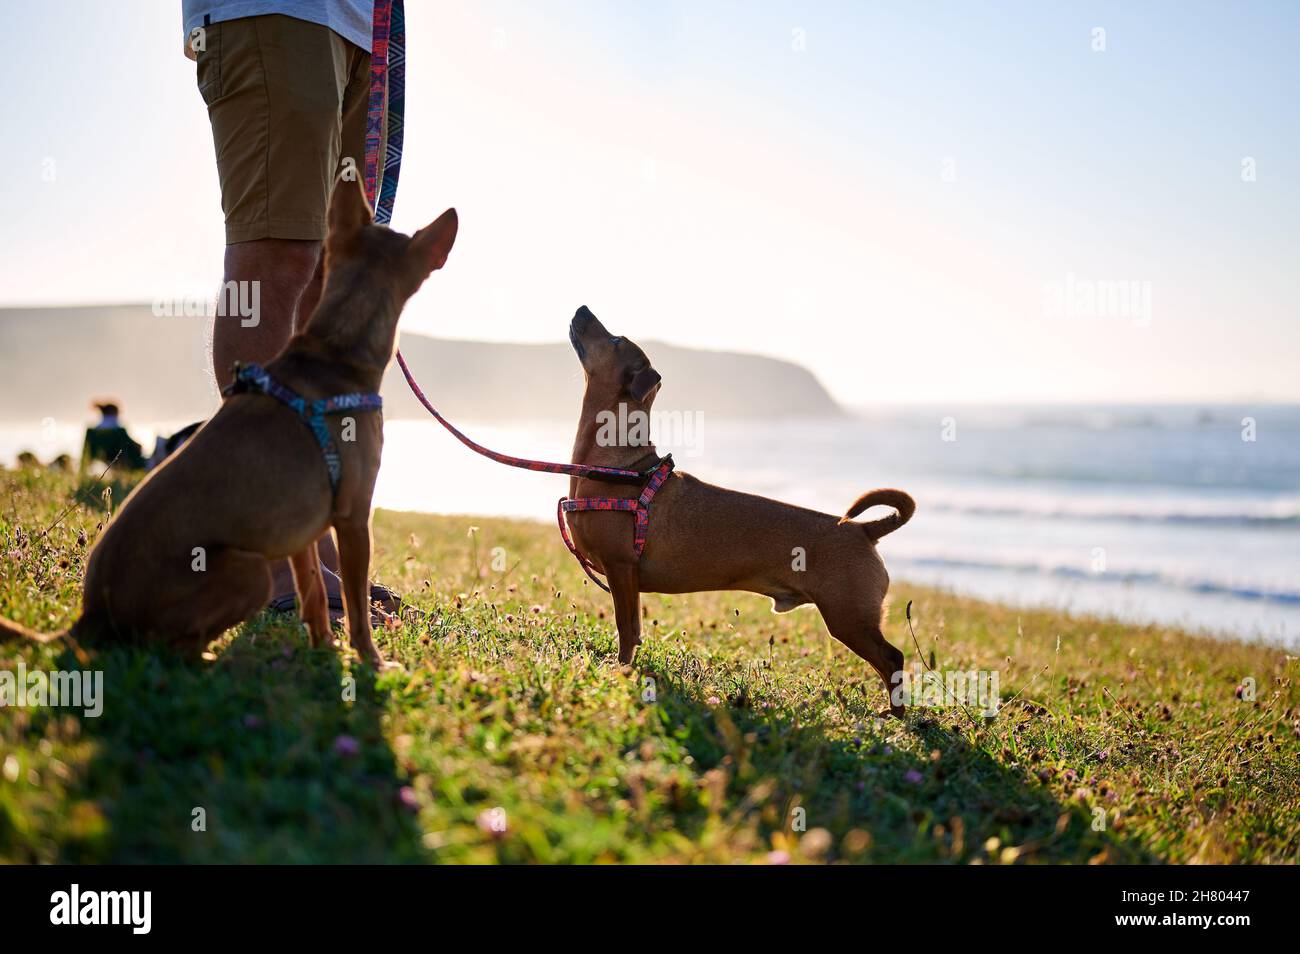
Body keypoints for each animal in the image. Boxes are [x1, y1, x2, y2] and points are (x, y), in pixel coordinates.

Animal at [0, 180, 460, 670]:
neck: (332, 350)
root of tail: (91, 615)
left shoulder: (299, 530)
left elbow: (315, 594)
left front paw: (322, 648)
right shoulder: (354, 518)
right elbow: (356, 607)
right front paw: (372, 661)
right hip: (251, 570)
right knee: (167, 649)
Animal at [566, 306, 915, 717]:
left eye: (616, 339)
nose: (582, 308)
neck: (619, 464)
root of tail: (864, 530)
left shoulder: (622, 569)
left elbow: (627, 630)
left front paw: (620, 670)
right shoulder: (625, 576)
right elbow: (632, 630)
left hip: (850, 617)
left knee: (892, 658)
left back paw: (895, 714)